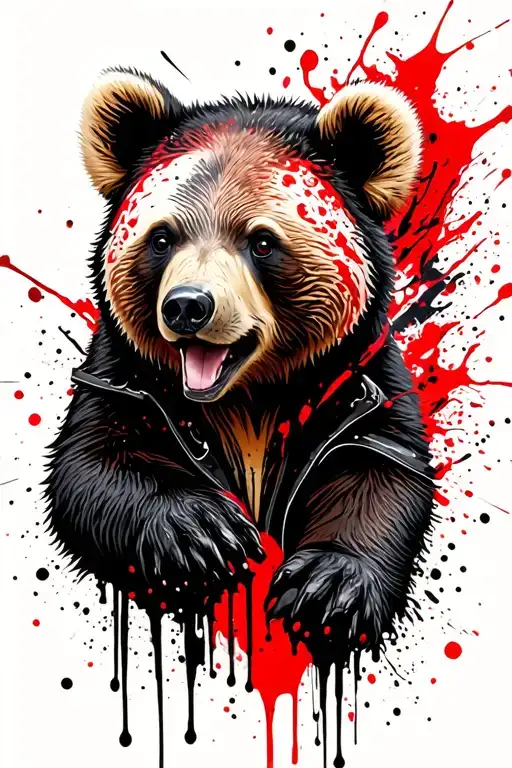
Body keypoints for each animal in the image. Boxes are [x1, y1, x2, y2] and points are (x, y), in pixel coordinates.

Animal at [46, 68, 434, 668]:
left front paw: (327, 588)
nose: (187, 306)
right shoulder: (120, 377)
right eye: (162, 237)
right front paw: (205, 531)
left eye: (263, 241)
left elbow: (380, 468)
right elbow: (94, 462)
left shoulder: (364, 379)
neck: (247, 397)